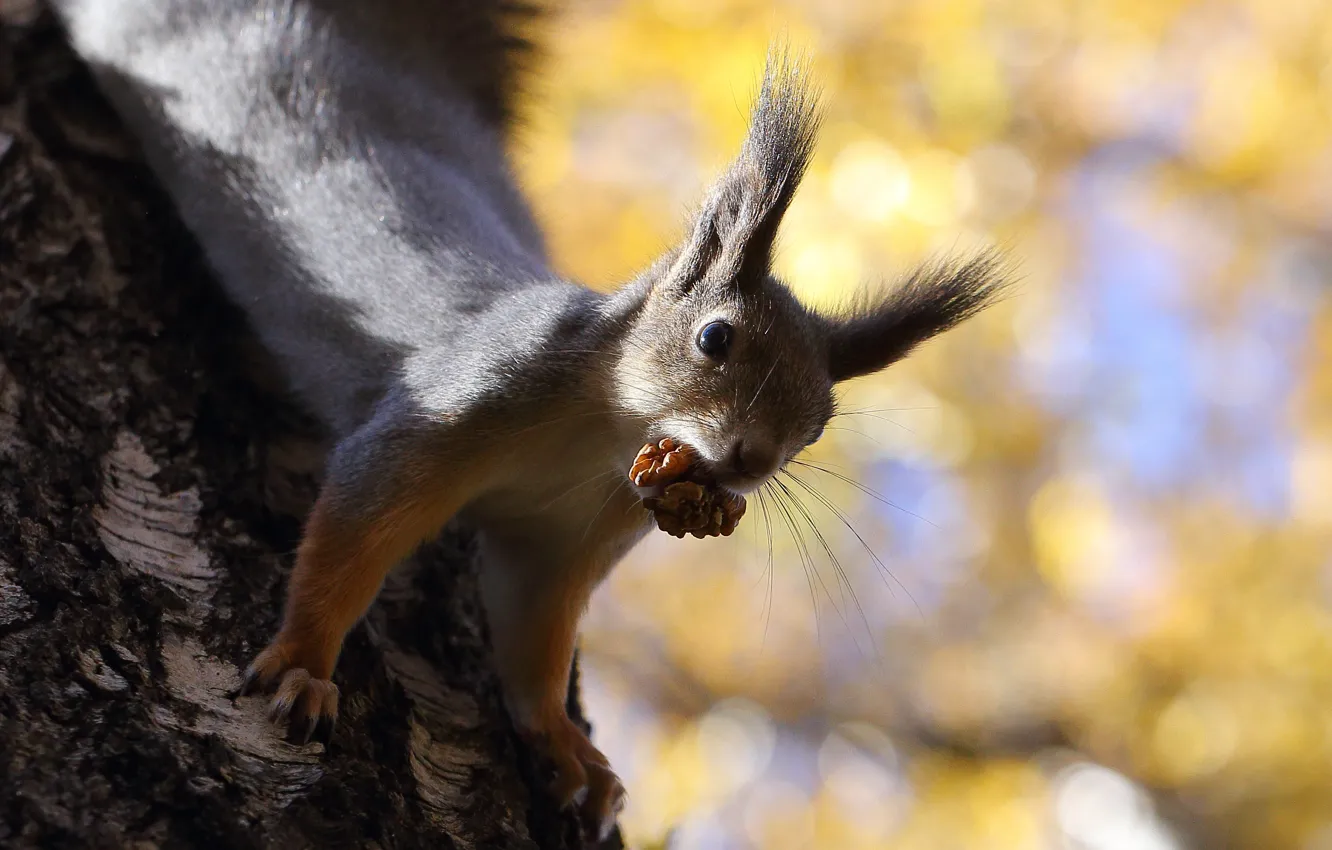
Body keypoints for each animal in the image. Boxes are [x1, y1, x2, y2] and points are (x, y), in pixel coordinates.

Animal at [54, 0, 1006, 842]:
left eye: (817, 428)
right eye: (715, 337)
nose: (746, 460)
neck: (599, 440)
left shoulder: (568, 538)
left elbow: (533, 638)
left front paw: (565, 749)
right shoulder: (441, 414)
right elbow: (353, 534)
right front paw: (302, 663)